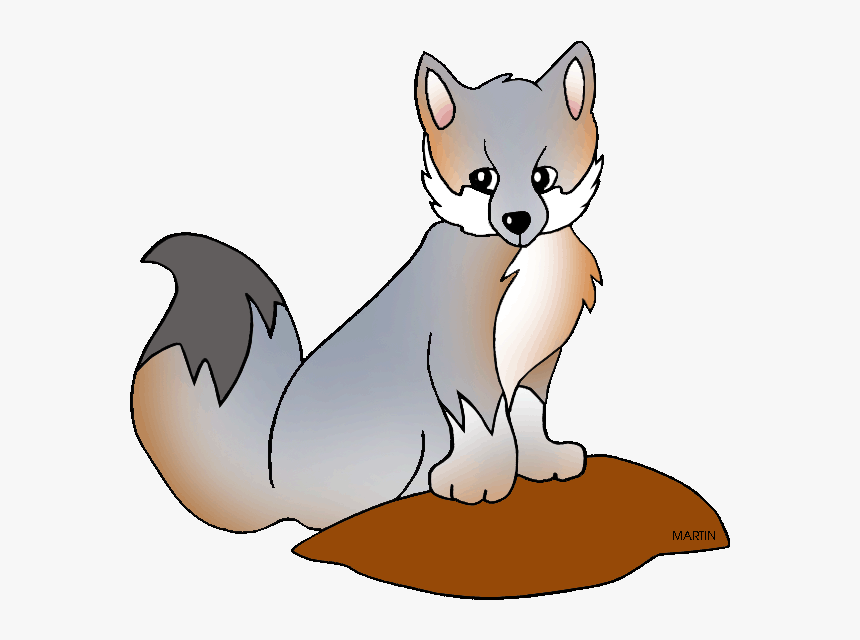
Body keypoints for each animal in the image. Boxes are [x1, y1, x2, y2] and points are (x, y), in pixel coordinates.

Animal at [131, 42, 604, 532]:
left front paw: (543, 461)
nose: (518, 221)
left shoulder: (539, 360)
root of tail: (272, 479)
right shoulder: (459, 356)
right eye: (482, 179)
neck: (527, 265)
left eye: (542, 177)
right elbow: (486, 423)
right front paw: (479, 482)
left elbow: (529, 414)